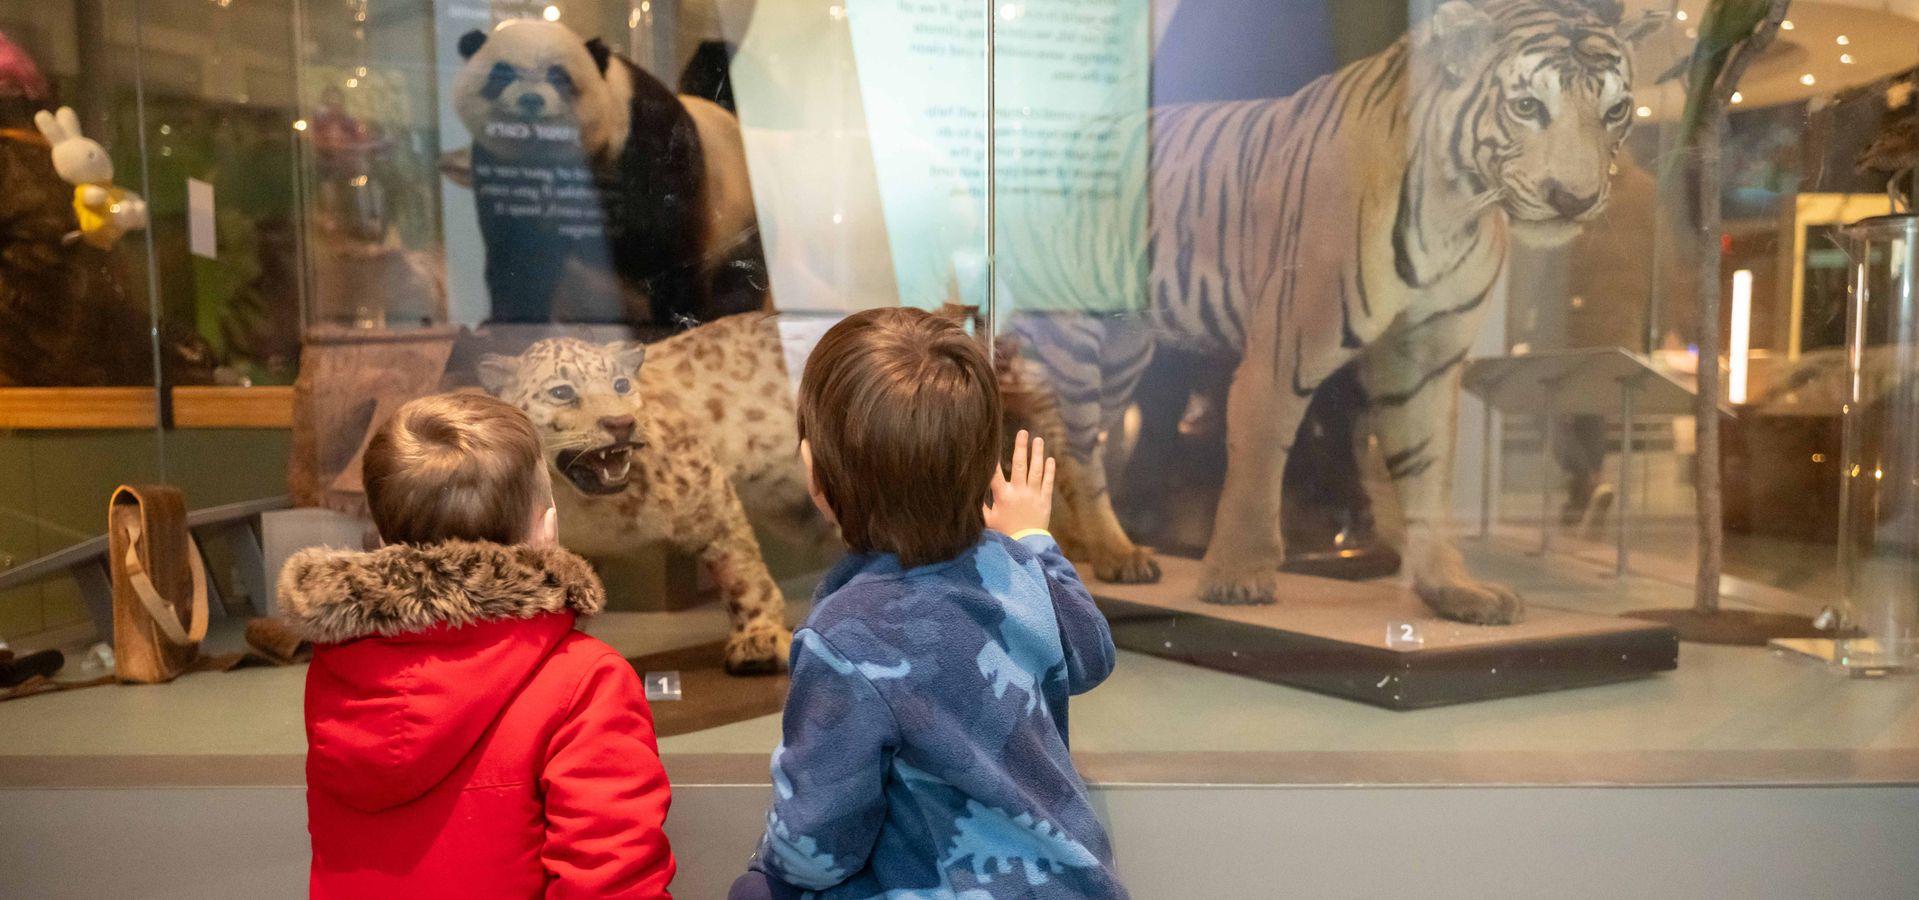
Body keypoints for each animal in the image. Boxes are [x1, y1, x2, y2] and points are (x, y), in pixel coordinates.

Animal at [454, 20, 763, 326]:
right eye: (502, 73)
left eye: (559, 76)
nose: (531, 101)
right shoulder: (501, 170)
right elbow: (519, 252)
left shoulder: (649, 141)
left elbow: (666, 236)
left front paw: (679, 319)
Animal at [1020, 0, 1665, 621]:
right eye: (1528, 106)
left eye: (1615, 111)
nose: (1574, 200)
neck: (1456, 206)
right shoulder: (1285, 349)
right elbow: (1258, 465)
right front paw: (1236, 577)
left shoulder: (1425, 359)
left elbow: (1428, 473)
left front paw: (1451, 589)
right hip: (1072, 342)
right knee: (1079, 451)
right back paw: (1114, 552)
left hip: (1122, 358)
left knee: (1062, 451)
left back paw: (1072, 552)